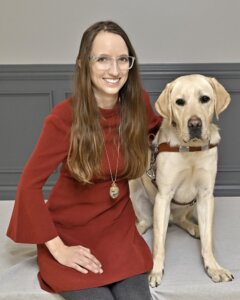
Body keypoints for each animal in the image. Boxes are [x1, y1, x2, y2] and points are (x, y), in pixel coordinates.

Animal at [130, 74, 233, 288]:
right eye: (179, 102)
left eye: (204, 99)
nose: (194, 124)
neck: (191, 150)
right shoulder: (163, 197)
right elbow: (159, 244)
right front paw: (155, 270)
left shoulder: (206, 196)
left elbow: (208, 240)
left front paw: (213, 267)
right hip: (135, 190)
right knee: (147, 223)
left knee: (181, 220)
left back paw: (195, 228)